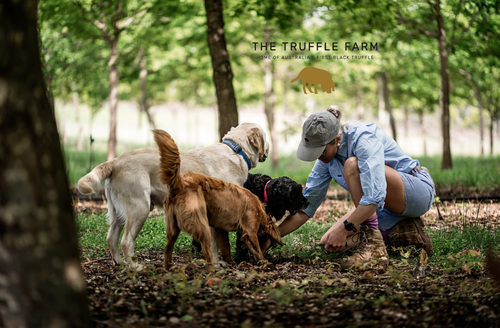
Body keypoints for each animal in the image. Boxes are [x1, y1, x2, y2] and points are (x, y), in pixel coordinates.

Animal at [153, 129, 282, 270]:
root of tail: (179, 184)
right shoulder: (250, 232)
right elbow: (256, 250)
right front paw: (264, 262)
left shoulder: (220, 229)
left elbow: (226, 247)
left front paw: (230, 262)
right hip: (202, 226)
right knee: (206, 252)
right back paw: (213, 270)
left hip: (173, 229)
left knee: (167, 249)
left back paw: (168, 268)